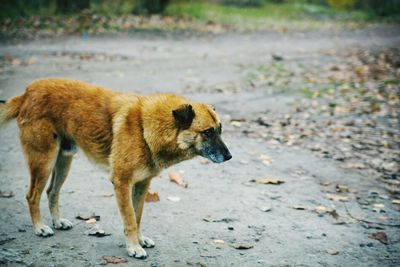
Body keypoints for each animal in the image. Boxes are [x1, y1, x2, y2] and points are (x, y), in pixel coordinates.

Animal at [0, 79, 231, 260]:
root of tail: (27, 91)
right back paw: (39, 227)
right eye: (208, 132)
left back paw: (57, 222)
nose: (229, 157)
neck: (147, 127)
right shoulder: (122, 183)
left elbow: (137, 216)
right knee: (32, 195)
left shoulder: (141, 185)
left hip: (63, 162)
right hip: (43, 161)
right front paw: (134, 247)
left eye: (220, 130)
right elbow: (129, 219)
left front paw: (139, 240)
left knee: (51, 192)